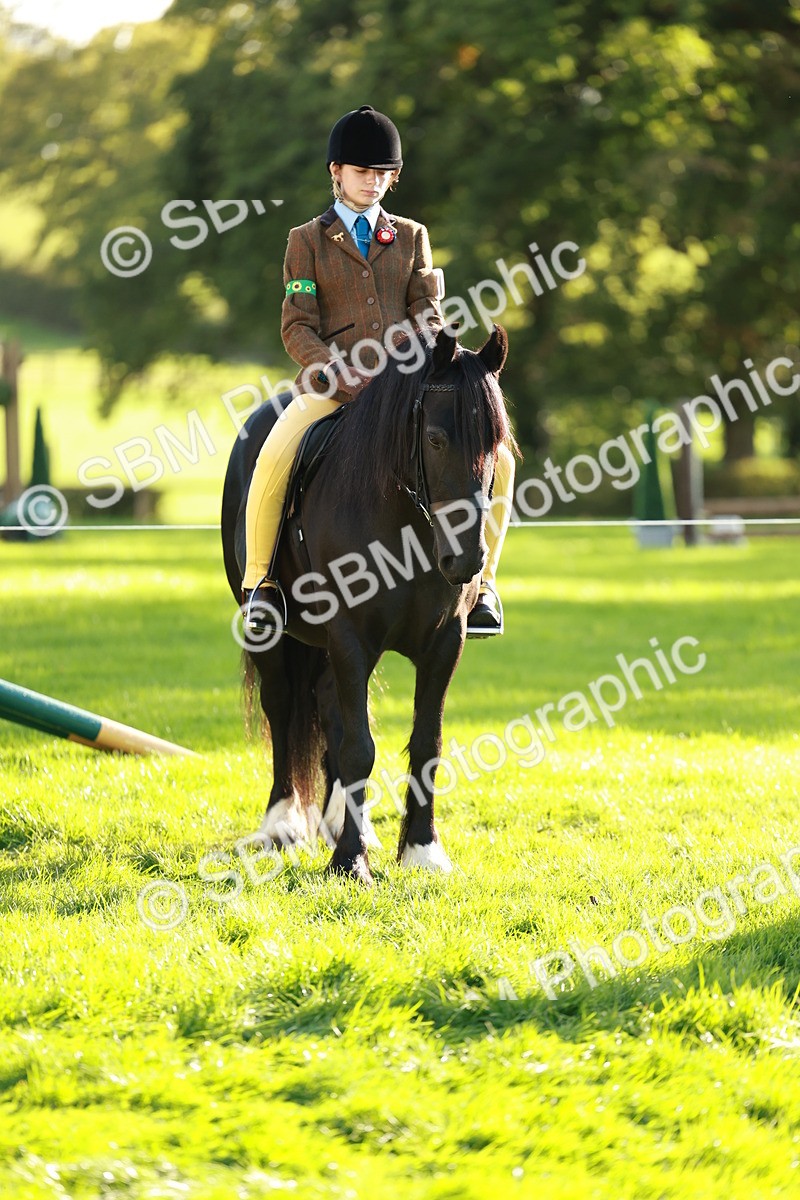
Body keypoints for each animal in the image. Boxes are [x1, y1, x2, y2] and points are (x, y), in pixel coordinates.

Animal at [221, 323, 513, 886]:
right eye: (435, 438)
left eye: (497, 442)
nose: (466, 558)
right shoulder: (350, 637)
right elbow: (359, 747)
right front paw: (350, 862)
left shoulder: (445, 642)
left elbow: (425, 745)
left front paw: (422, 850)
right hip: (272, 633)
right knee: (283, 706)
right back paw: (282, 825)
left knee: (330, 708)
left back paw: (341, 823)